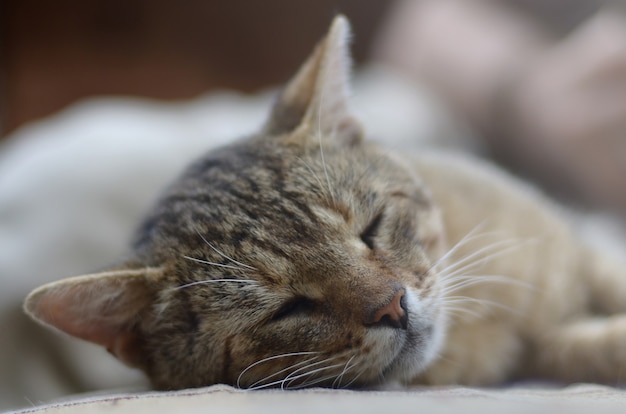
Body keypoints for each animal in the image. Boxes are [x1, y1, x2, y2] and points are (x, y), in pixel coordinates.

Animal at [25, 17, 626, 392]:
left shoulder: (584, 244)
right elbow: (581, 348)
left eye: (373, 227)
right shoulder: (540, 344)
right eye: (289, 308)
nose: (393, 307)